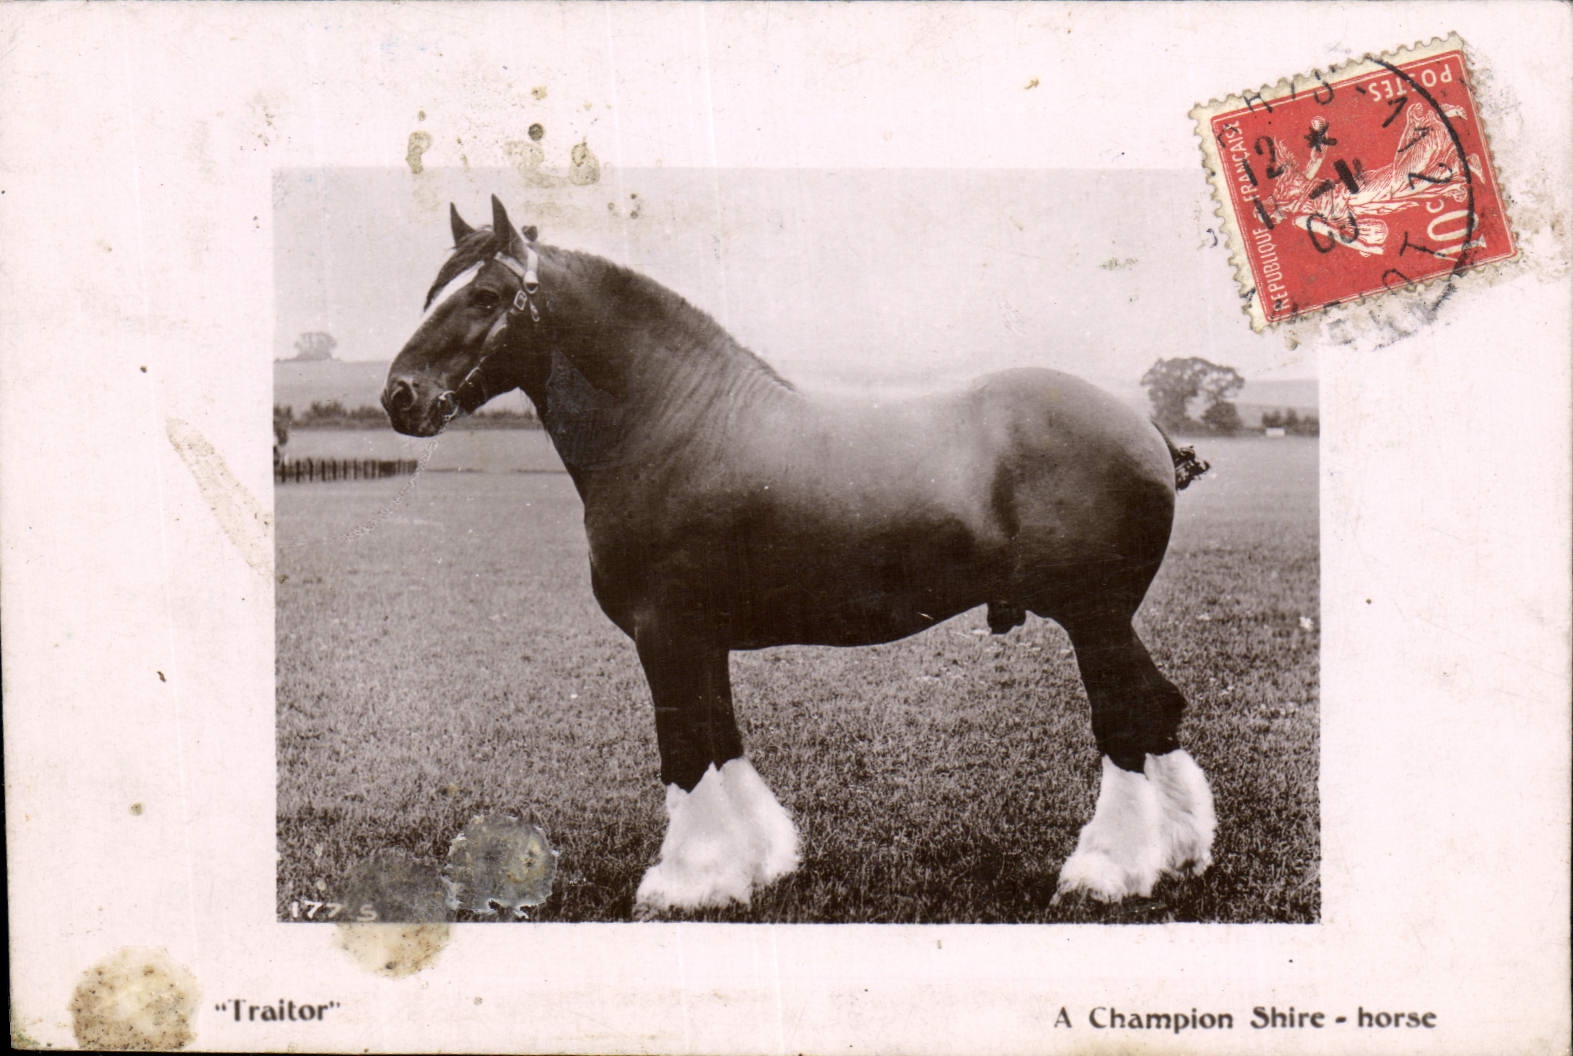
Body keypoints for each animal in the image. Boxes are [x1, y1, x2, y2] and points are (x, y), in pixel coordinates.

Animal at [382, 196, 1217, 914]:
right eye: (431, 292)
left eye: (486, 296)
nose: (399, 396)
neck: (672, 427)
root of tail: (1144, 428)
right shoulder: (699, 638)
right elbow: (722, 740)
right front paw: (753, 864)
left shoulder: (663, 634)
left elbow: (683, 750)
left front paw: (684, 882)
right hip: (1107, 621)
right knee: (1157, 710)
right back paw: (1180, 856)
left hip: (1093, 619)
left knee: (1125, 721)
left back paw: (1106, 871)